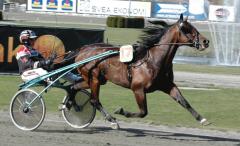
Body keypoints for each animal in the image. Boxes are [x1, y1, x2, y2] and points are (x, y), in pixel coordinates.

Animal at [73, 13, 210, 128]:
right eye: (186, 29)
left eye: (193, 26)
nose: (206, 41)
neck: (153, 61)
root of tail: (83, 49)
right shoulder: (138, 89)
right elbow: (143, 112)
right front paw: (121, 111)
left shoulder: (167, 85)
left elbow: (183, 101)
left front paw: (202, 119)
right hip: (94, 78)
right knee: (94, 100)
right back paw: (111, 120)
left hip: (96, 79)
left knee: (74, 87)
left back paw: (72, 104)